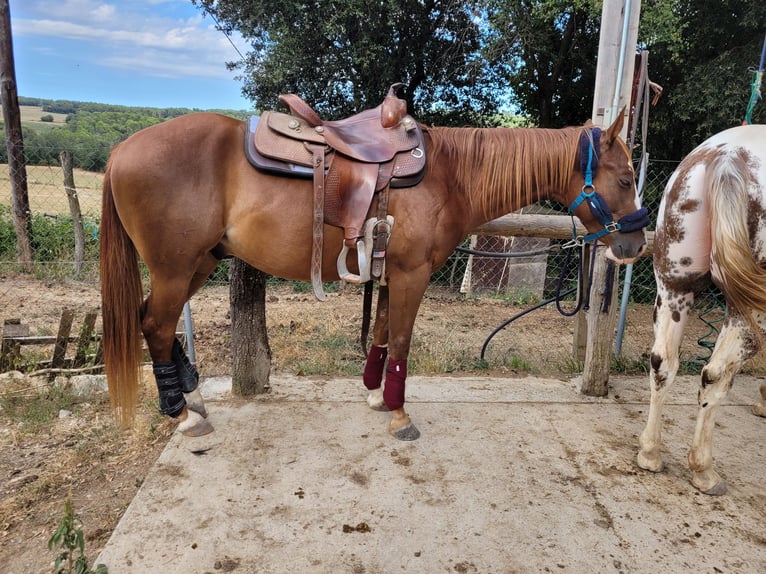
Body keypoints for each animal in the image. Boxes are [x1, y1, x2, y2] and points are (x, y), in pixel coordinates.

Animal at [100, 110, 648, 438]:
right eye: (624, 178)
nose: (636, 245)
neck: (449, 176)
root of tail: (120, 150)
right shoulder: (412, 274)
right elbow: (401, 340)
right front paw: (400, 413)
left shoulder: (390, 272)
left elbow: (382, 332)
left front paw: (373, 394)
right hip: (176, 269)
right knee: (155, 325)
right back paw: (182, 417)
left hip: (200, 262)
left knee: (155, 323)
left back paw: (192, 399)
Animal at [640, 125, 766, 496]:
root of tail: (729, 155)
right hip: (748, 308)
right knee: (716, 374)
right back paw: (704, 470)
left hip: (674, 286)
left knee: (662, 361)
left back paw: (650, 453)